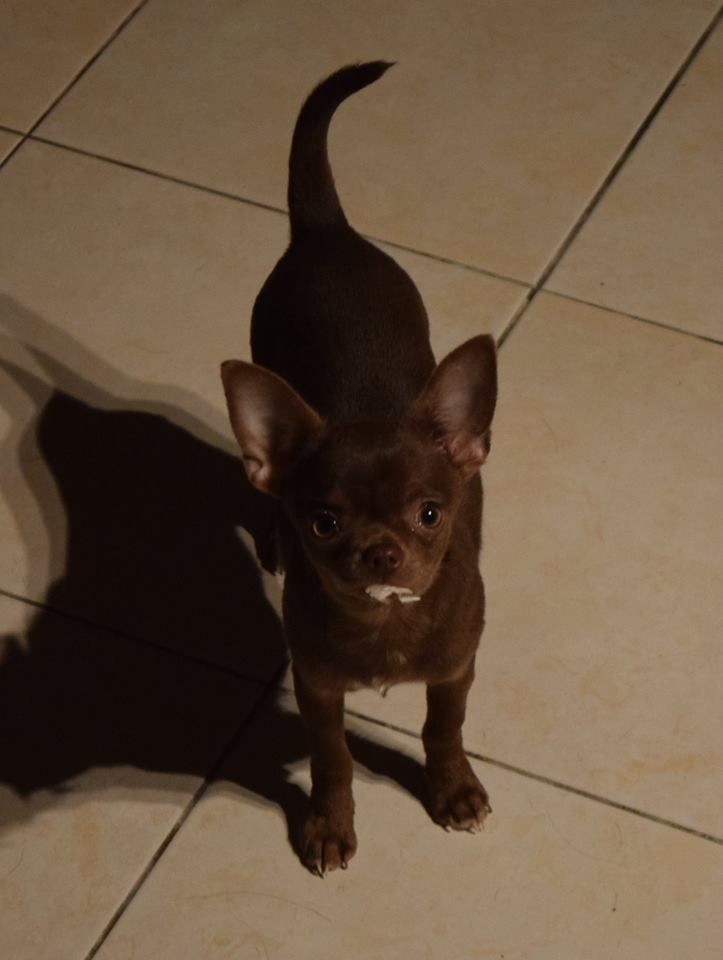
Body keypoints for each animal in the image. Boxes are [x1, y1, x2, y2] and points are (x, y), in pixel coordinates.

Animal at [221, 62, 497, 876]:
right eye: (324, 522)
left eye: (430, 513)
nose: (379, 550)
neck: (383, 618)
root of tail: (325, 231)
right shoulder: (316, 688)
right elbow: (334, 759)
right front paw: (328, 825)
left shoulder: (455, 671)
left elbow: (443, 728)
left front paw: (453, 790)